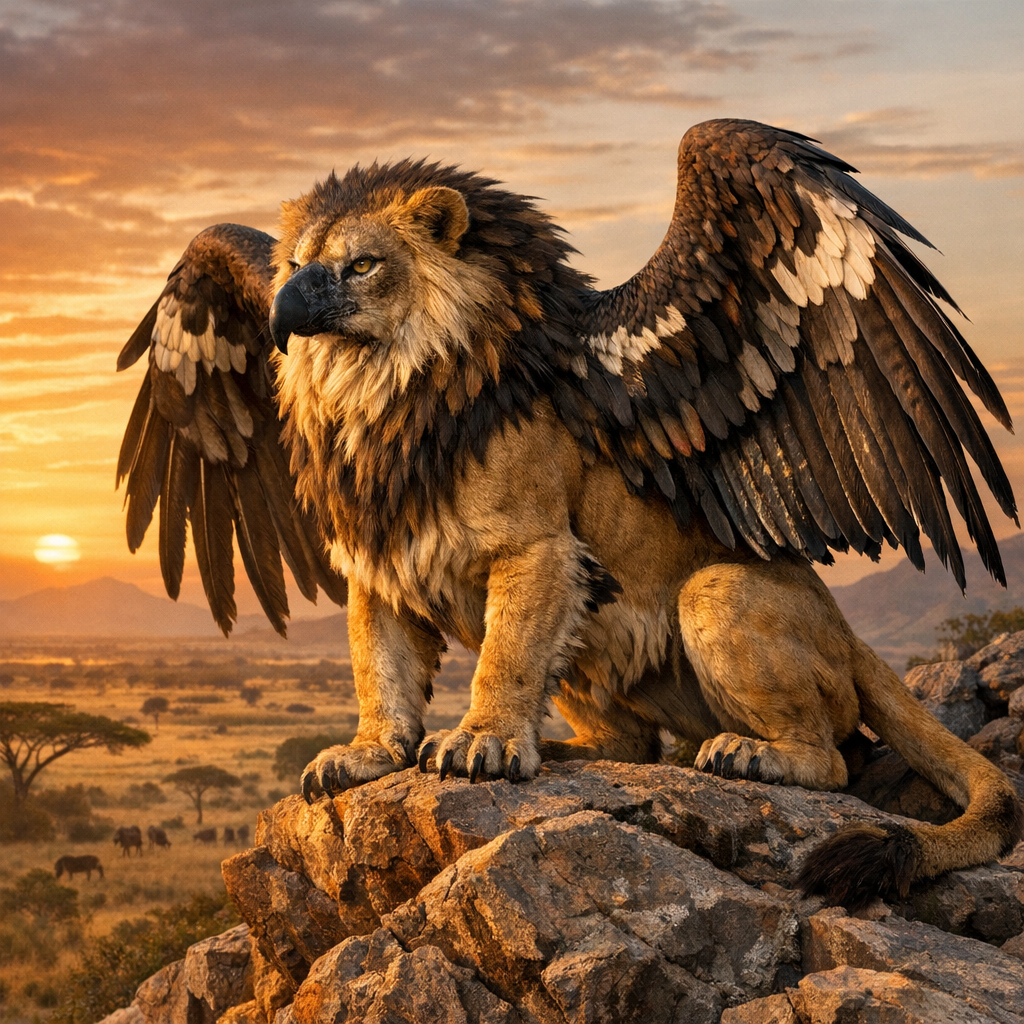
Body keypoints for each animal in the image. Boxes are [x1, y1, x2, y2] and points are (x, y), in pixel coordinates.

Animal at [117, 120, 1022, 909]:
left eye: (364, 264)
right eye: (295, 265)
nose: (286, 309)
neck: (384, 397)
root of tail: (850, 632)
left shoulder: (536, 547)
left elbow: (507, 653)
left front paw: (481, 741)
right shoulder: (377, 560)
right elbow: (378, 665)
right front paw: (370, 754)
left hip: (717, 592)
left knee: (833, 760)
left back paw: (750, 756)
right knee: (632, 745)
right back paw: (561, 747)